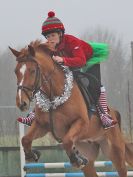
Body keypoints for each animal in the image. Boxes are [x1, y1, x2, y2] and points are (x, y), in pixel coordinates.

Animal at [9, 40, 133, 177]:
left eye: (32, 70)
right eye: (16, 71)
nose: (22, 103)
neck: (54, 98)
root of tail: (114, 113)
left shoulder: (81, 123)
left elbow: (67, 141)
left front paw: (76, 159)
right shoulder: (42, 125)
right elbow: (25, 139)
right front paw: (32, 155)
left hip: (115, 152)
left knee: (121, 168)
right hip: (88, 152)